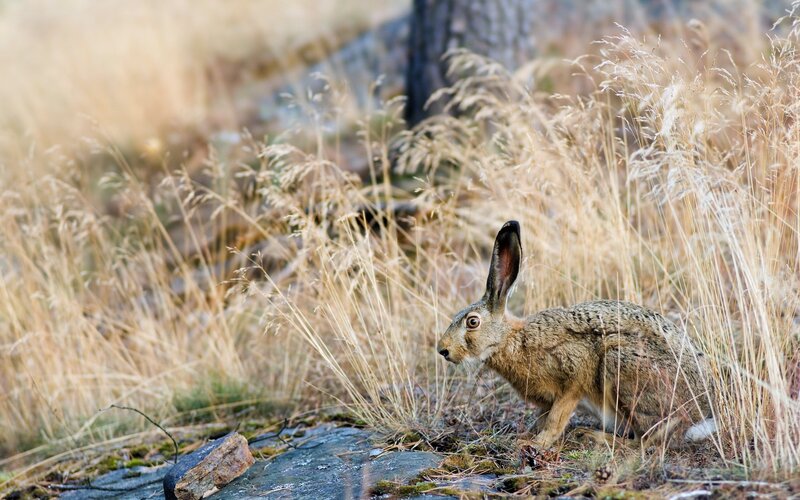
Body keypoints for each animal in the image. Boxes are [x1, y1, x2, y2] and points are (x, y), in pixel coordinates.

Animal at [437, 220, 715, 449]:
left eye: (472, 322)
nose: (443, 350)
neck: (512, 339)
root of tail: (700, 416)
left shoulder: (575, 376)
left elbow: (557, 417)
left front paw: (536, 443)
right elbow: (543, 417)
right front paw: (526, 435)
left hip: (621, 365)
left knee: (648, 440)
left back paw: (593, 436)